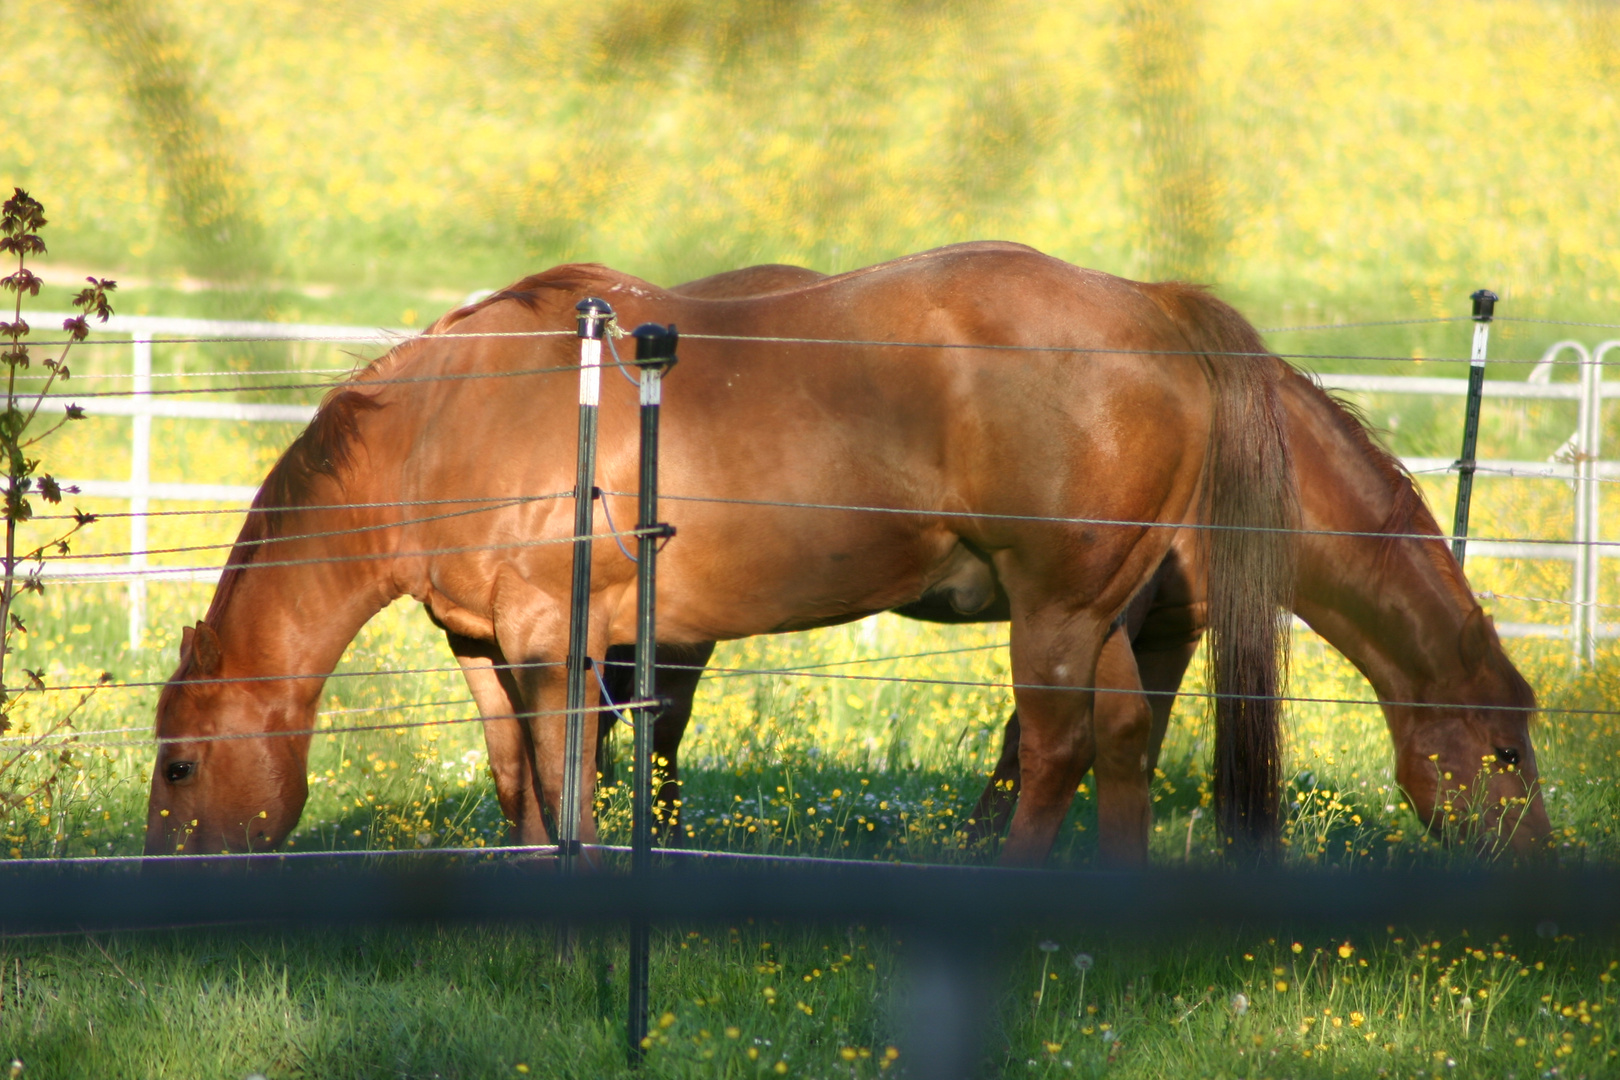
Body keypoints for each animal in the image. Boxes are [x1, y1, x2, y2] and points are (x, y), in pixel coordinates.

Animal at [149, 242, 1289, 861]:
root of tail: (1156, 310)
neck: (449, 423)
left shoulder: (557, 644)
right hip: (1098, 615)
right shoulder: (485, 650)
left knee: (1055, 752)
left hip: (1053, 613)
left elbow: (569, 781)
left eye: (179, 764)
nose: (157, 881)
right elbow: (520, 780)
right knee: (1125, 742)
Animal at [599, 259, 1555, 861]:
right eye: (1507, 752)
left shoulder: (1158, 626)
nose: (1538, 862)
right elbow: (1038, 745)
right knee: (658, 719)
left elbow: (1126, 739)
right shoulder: (1100, 614)